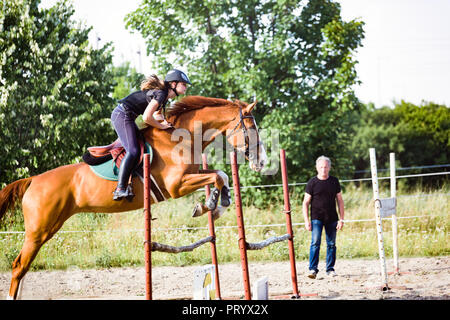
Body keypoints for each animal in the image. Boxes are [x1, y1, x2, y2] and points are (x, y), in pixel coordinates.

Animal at [0, 95, 268, 300]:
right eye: (253, 129)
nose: (263, 162)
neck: (182, 139)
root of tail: (33, 180)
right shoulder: (177, 186)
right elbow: (217, 176)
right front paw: (209, 205)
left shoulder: (192, 174)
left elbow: (220, 174)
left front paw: (215, 205)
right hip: (39, 229)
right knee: (18, 266)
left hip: (48, 227)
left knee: (24, 267)